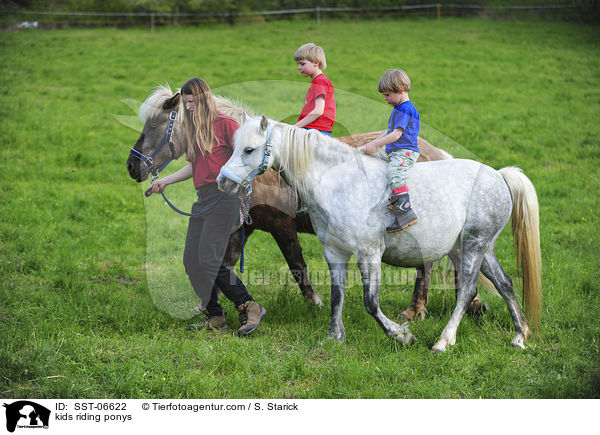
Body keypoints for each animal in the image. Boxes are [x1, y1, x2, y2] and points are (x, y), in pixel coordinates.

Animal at [218, 116, 540, 354]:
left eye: (249, 149)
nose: (222, 181)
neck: (339, 182)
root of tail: (499, 175)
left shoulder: (369, 252)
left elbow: (370, 302)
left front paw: (401, 335)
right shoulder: (335, 252)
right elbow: (336, 296)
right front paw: (335, 337)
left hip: (474, 245)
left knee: (467, 291)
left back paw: (443, 341)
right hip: (483, 248)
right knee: (505, 284)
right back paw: (520, 336)